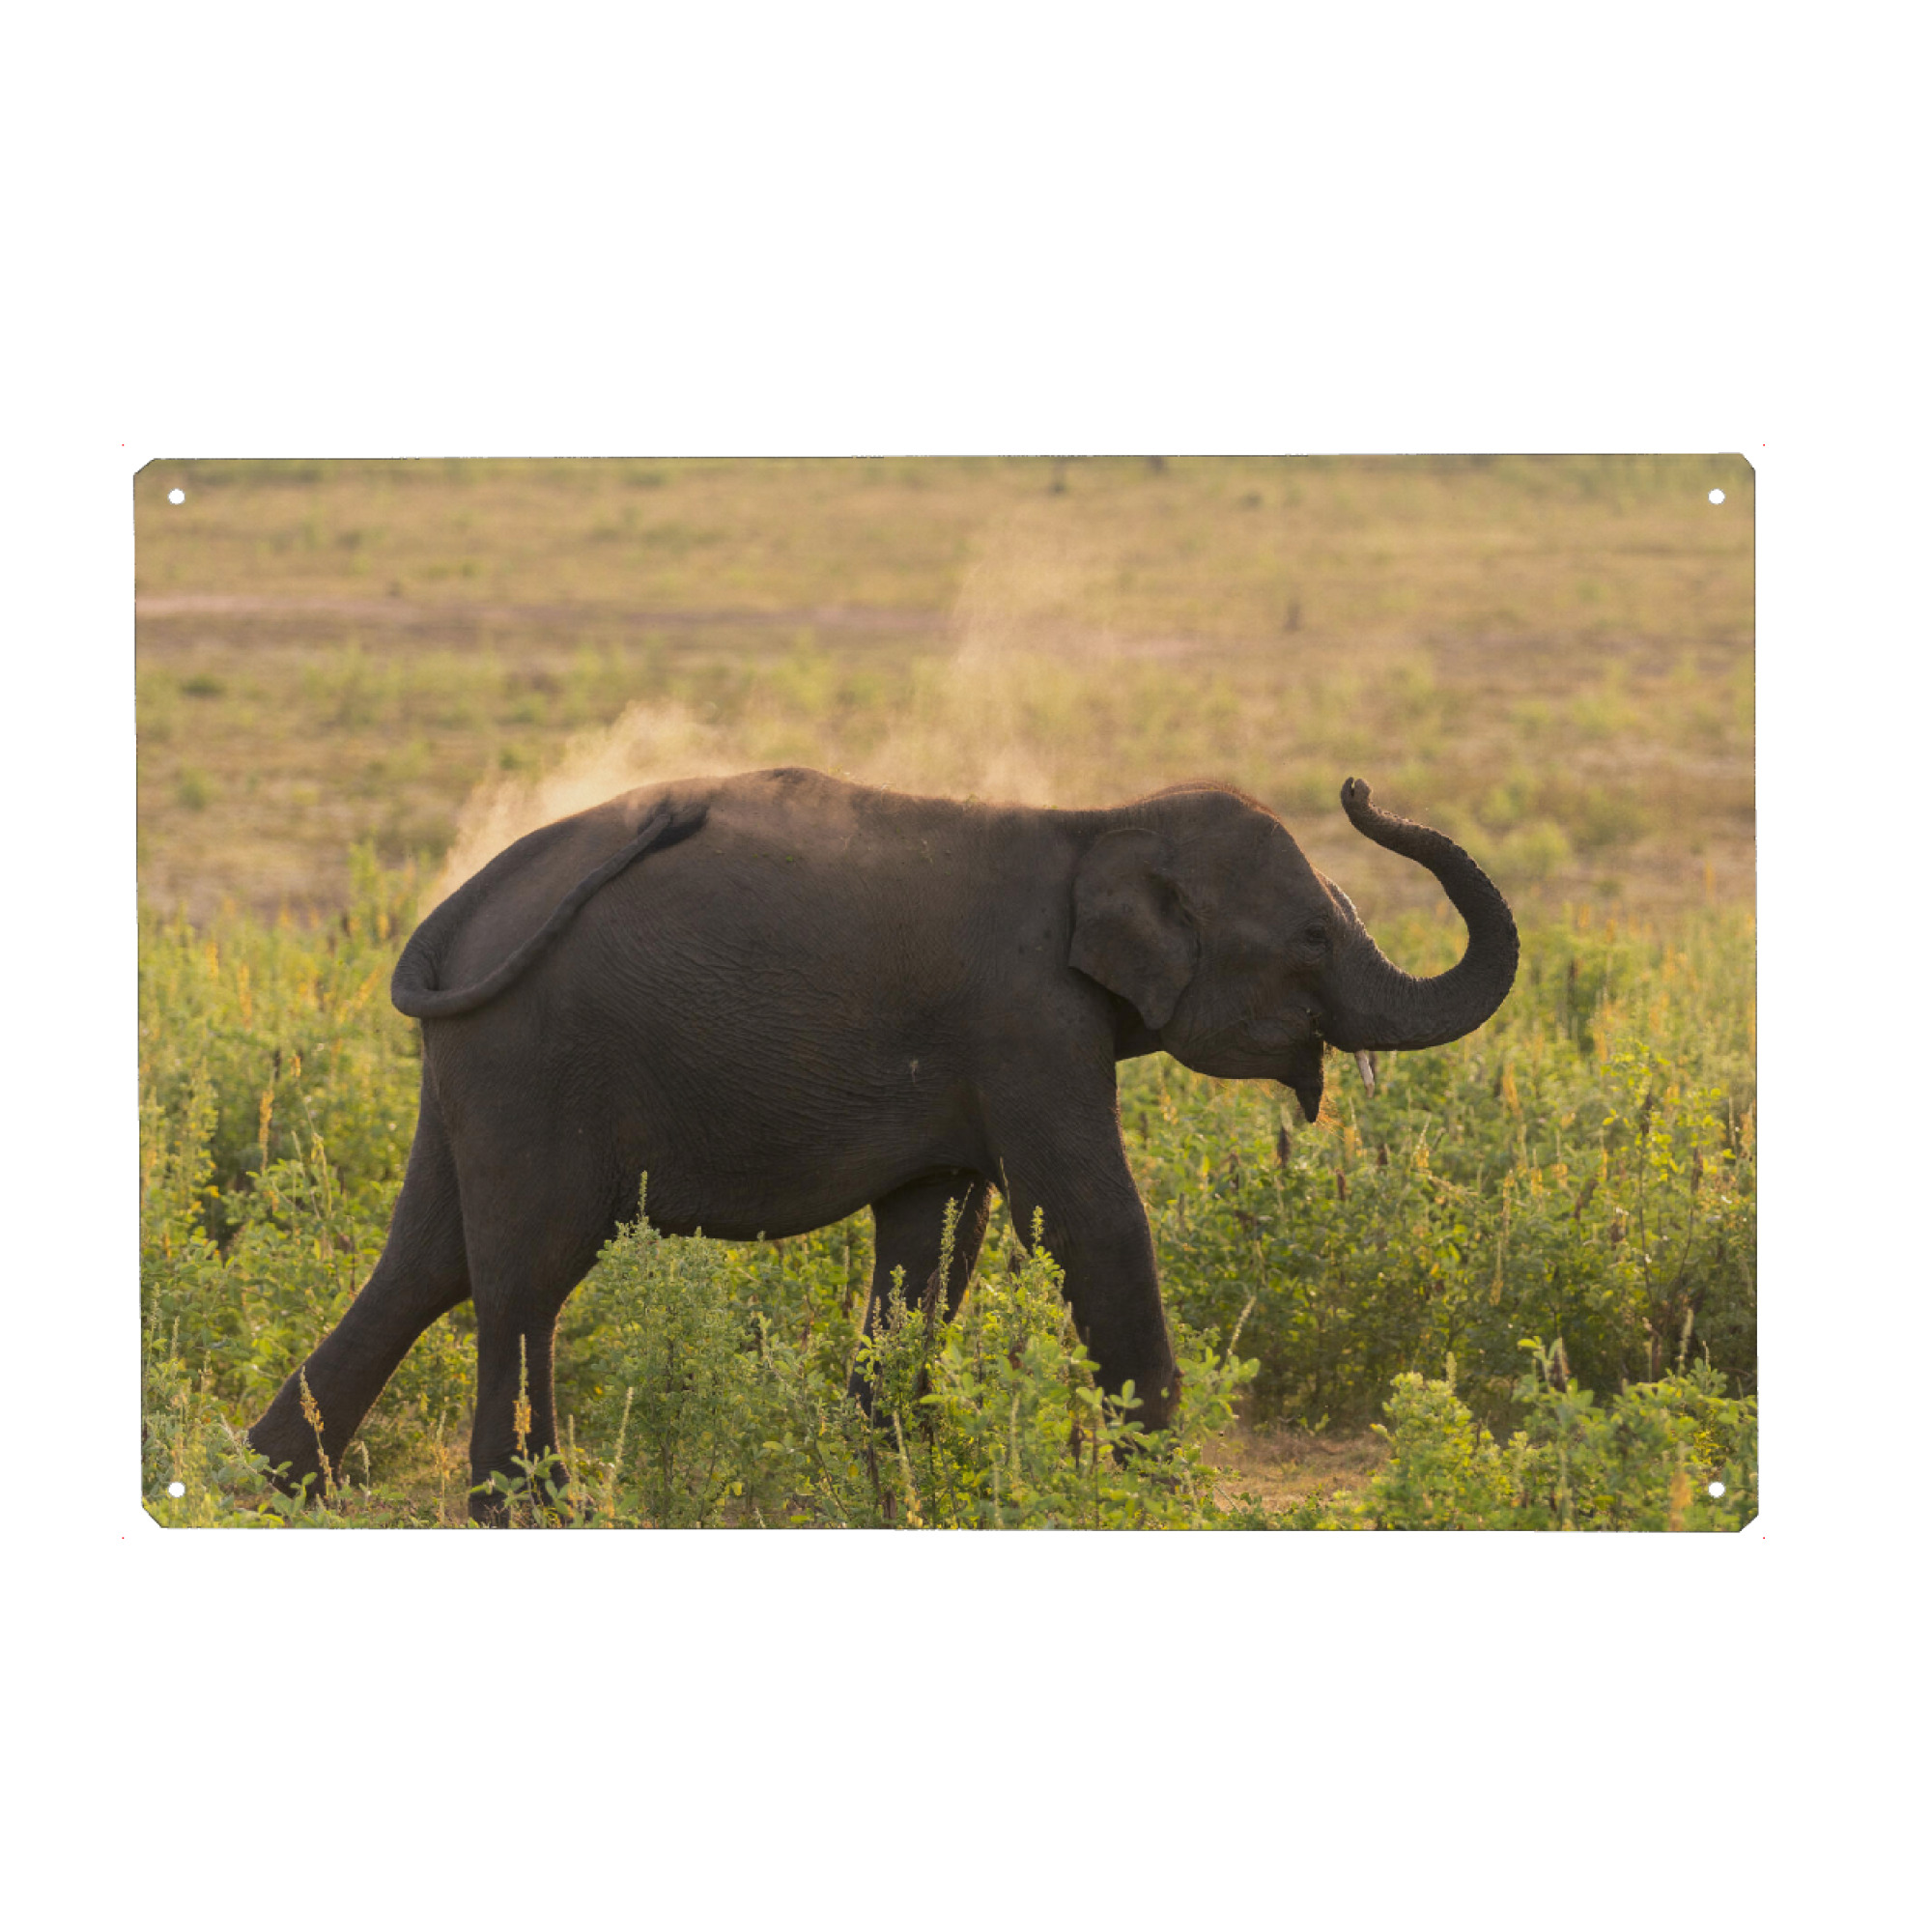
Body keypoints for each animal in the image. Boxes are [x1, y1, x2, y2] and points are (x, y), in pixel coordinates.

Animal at [247, 768, 1517, 1518]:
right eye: (1311, 937)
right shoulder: (1026, 1023)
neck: (1096, 823)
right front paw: (1164, 1499)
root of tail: (460, 905)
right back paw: (527, 1510)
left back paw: (266, 1480)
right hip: (533, 1051)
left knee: (427, 1261)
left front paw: (896, 1487)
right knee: (525, 1272)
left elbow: (935, 1239)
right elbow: (1089, 1221)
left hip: (476, 1056)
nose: (1357, 786)